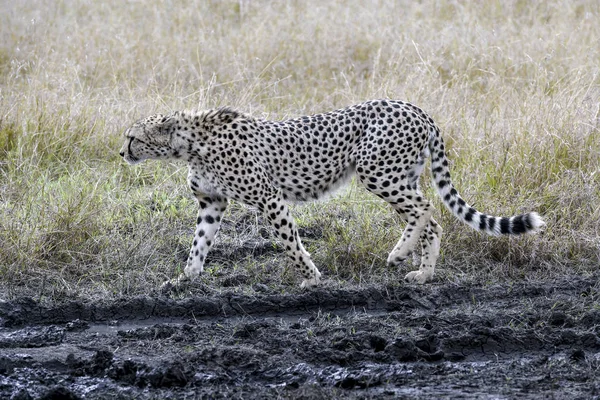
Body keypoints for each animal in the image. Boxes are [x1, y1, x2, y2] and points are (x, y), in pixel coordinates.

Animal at [120, 100, 544, 288]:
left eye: (133, 137)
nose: (121, 153)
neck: (191, 144)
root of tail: (415, 108)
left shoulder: (269, 198)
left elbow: (291, 242)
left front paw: (310, 277)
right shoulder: (212, 203)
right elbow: (199, 243)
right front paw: (185, 278)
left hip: (377, 172)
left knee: (425, 209)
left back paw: (399, 254)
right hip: (399, 176)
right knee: (431, 220)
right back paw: (423, 271)